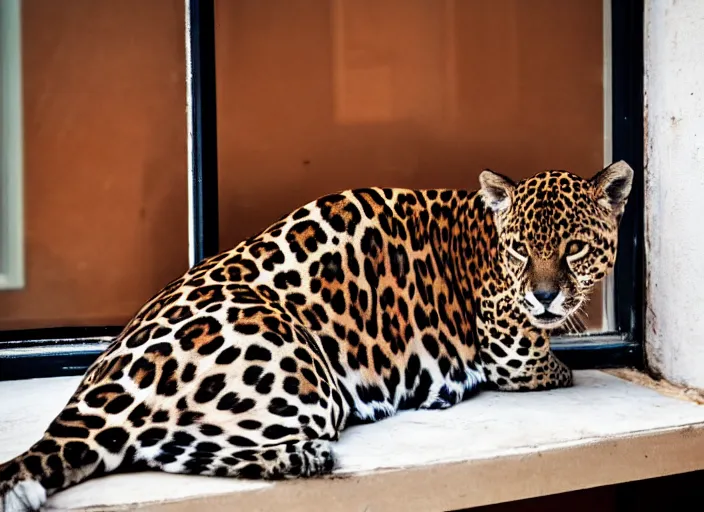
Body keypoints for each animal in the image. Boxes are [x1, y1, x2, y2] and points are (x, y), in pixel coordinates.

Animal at [0, 161, 632, 512]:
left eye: (575, 247)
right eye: (521, 249)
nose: (544, 295)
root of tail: (103, 379)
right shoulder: (508, 344)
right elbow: (546, 363)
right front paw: (562, 361)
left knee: (158, 448)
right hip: (301, 373)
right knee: (162, 445)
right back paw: (305, 457)